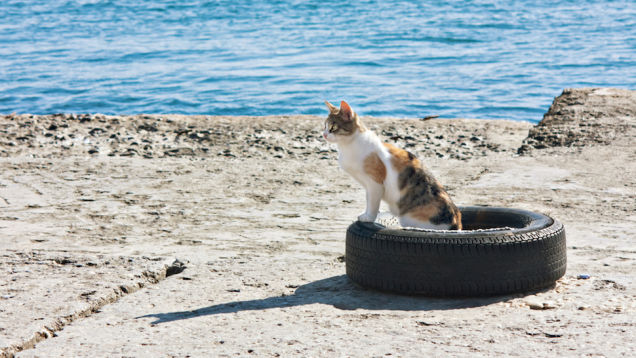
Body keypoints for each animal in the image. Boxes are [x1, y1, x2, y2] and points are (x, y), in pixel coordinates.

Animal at [322, 100, 462, 229]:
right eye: (324, 126)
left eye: (333, 127)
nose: (324, 134)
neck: (348, 146)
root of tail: (456, 224)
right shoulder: (368, 186)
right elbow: (368, 201)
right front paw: (365, 214)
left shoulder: (375, 184)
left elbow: (373, 204)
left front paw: (368, 218)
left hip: (409, 219)